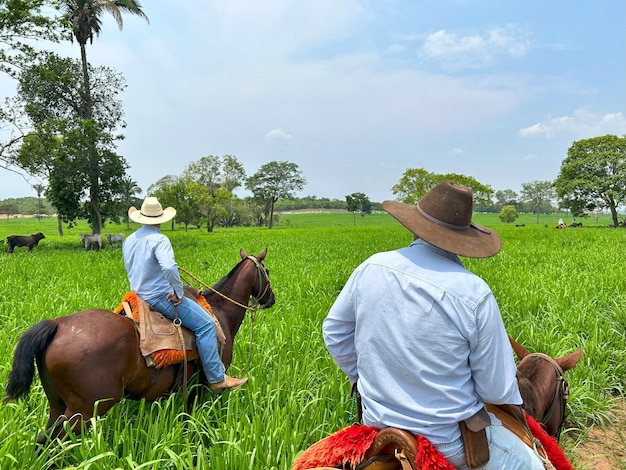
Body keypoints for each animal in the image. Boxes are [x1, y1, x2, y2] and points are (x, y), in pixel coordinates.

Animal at [3, 248, 272, 446]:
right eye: (267, 271)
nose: (272, 299)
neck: (220, 311)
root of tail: (58, 325)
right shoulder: (208, 385)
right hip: (84, 411)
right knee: (50, 442)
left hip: (58, 405)